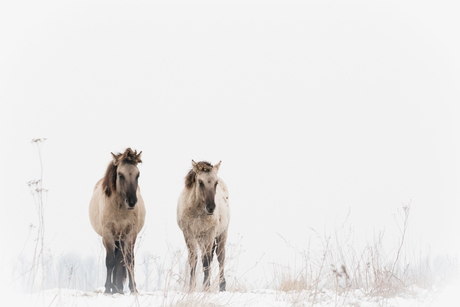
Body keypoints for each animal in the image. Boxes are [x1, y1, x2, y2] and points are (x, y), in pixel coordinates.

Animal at [88, 149, 146, 296]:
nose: (131, 201)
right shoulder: (108, 234)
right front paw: (108, 289)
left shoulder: (130, 234)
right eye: (120, 175)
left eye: (138, 174)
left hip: (121, 239)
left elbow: (129, 261)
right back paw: (114, 288)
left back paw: (118, 288)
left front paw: (133, 288)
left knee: (121, 260)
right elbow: (110, 261)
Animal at [176, 160, 230, 292]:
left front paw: (206, 288)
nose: (210, 208)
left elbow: (206, 260)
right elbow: (193, 258)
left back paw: (222, 286)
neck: (197, 212)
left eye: (216, 183)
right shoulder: (189, 234)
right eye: (200, 182)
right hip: (200, 239)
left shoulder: (209, 234)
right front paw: (191, 288)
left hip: (222, 234)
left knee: (220, 256)